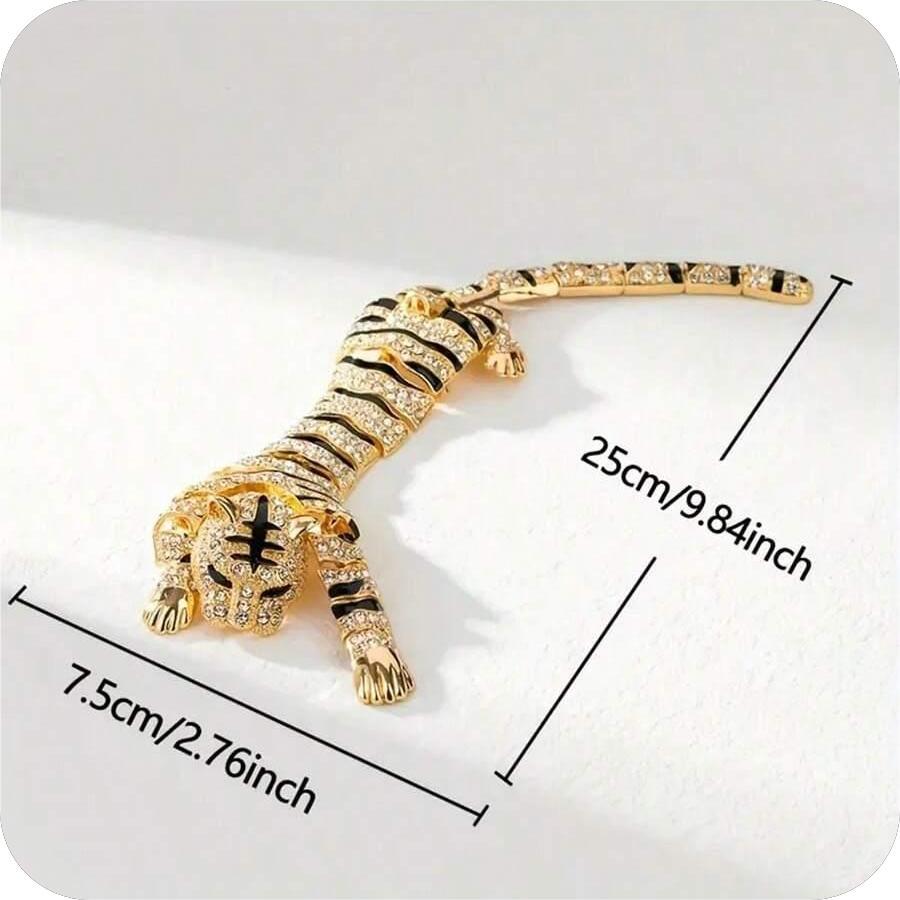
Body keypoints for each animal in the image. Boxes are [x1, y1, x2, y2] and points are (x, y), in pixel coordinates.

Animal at [142, 260, 812, 705]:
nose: (238, 626)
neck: (275, 485)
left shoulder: (336, 538)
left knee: (499, 320)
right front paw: (170, 601)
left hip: (471, 328)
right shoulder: (190, 500)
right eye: (219, 578)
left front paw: (380, 667)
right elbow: (169, 541)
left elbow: (357, 600)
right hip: (370, 319)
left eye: (279, 593)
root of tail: (441, 297)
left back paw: (508, 357)